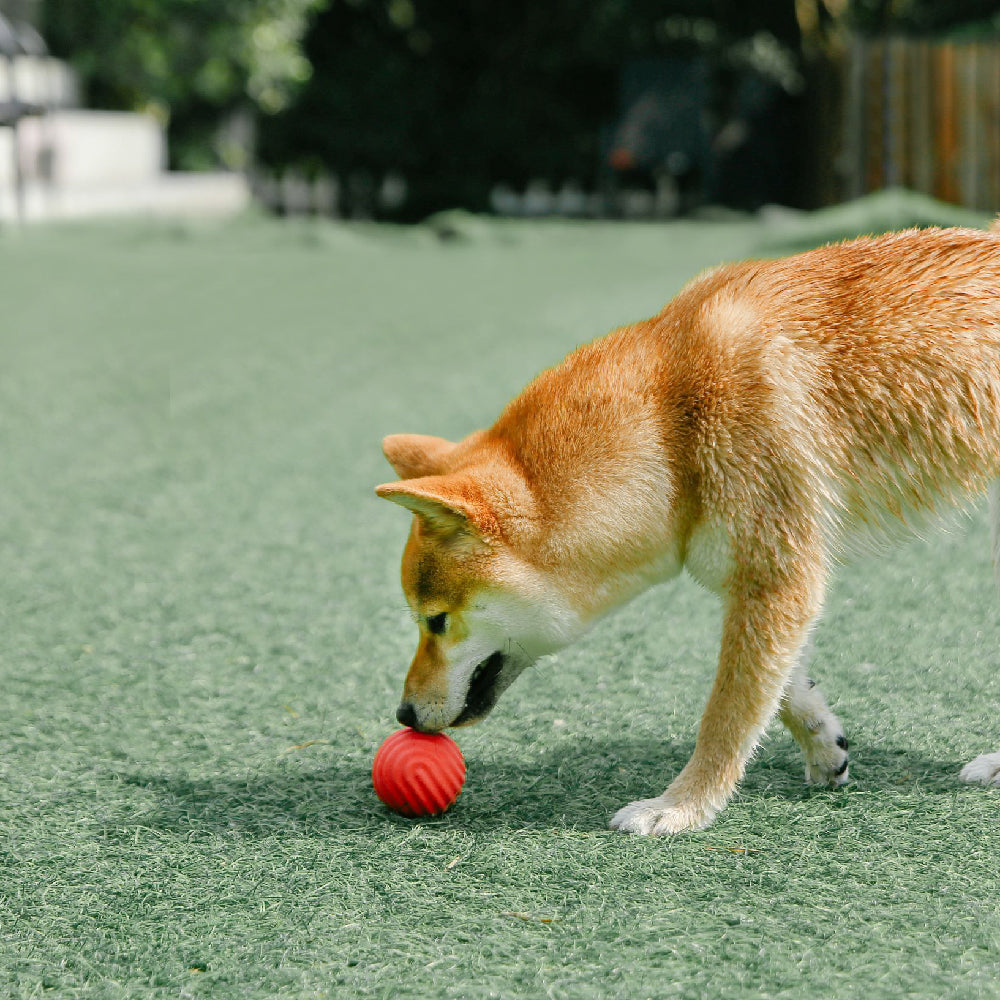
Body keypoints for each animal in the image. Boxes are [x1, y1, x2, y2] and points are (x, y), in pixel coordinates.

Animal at [376, 225, 1000, 836]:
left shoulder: (774, 576)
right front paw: (824, 745)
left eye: (435, 621)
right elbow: (780, 690)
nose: (403, 714)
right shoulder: (770, 580)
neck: (671, 421)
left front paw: (681, 806)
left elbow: (724, 717)